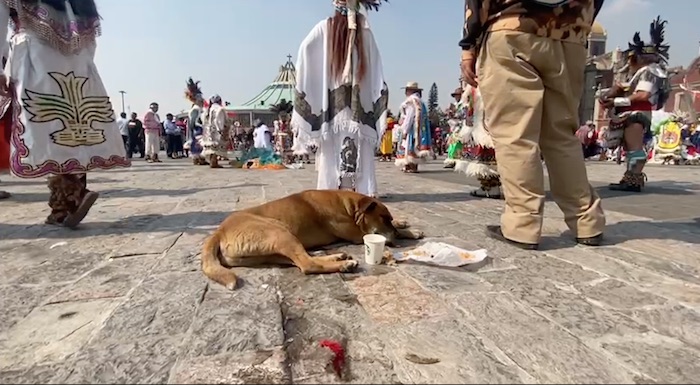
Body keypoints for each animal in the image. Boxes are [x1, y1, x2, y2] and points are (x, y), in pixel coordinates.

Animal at [200, 189, 424, 288]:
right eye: (383, 218)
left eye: (389, 218)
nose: (395, 239)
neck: (348, 205)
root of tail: (218, 231)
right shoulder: (356, 235)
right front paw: (407, 233)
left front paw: (405, 226)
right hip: (279, 232)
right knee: (307, 265)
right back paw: (343, 264)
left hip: (269, 252)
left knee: (298, 260)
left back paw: (338, 257)